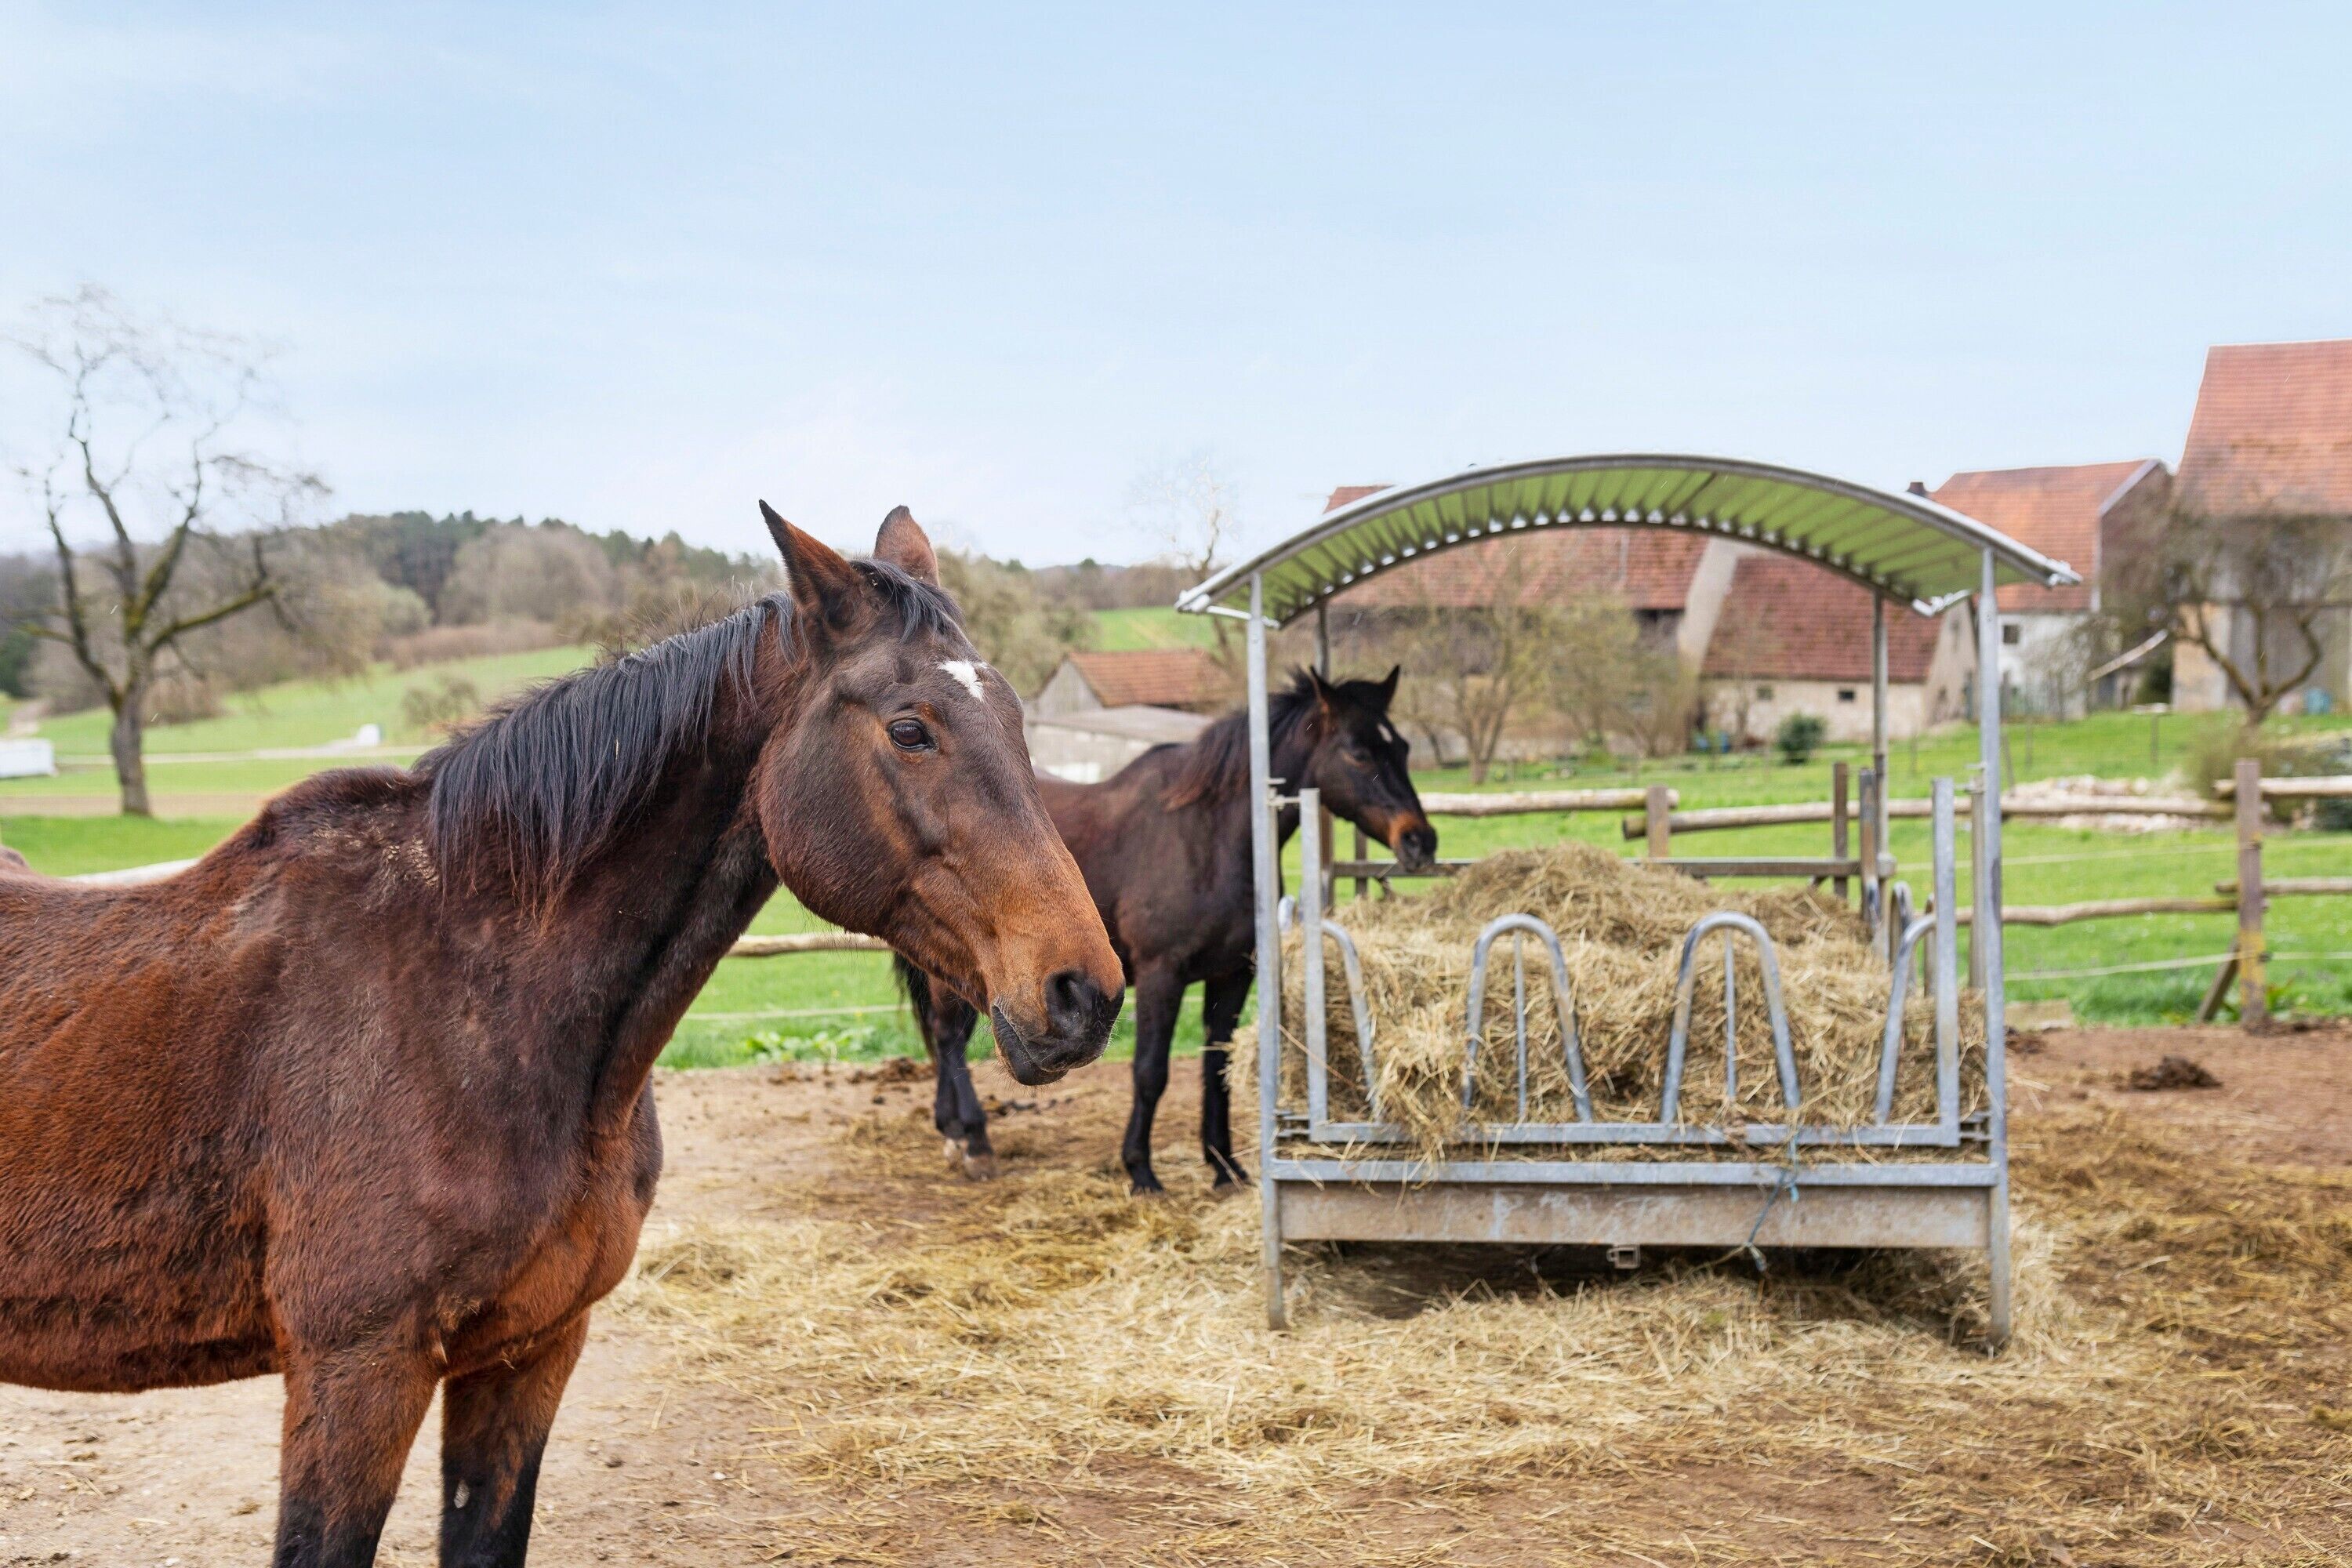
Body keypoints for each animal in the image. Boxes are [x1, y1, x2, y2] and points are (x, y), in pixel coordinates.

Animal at [0, 505, 1123, 1568]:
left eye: (1017, 716)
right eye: (911, 728)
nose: (1084, 992)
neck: (464, 1002)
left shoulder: (530, 1350)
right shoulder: (357, 1368)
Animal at [899, 668, 1435, 1192]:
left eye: (1403, 748)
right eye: (1358, 751)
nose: (1421, 841)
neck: (1207, 838)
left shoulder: (1232, 976)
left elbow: (1217, 1066)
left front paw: (1224, 1166)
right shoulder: (1163, 975)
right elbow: (1150, 1073)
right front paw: (1140, 1169)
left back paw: (951, 1129)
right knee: (948, 1037)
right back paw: (973, 1142)